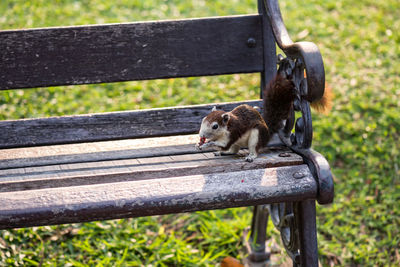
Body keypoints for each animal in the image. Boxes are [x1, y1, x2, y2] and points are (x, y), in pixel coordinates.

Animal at [196, 73, 332, 162]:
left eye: (215, 126)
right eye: (203, 120)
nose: (201, 135)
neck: (226, 127)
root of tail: (267, 132)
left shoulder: (233, 132)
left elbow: (223, 144)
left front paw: (206, 144)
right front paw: (199, 144)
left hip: (256, 136)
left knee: (252, 149)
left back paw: (250, 156)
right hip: (239, 142)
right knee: (233, 150)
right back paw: (223, 153)